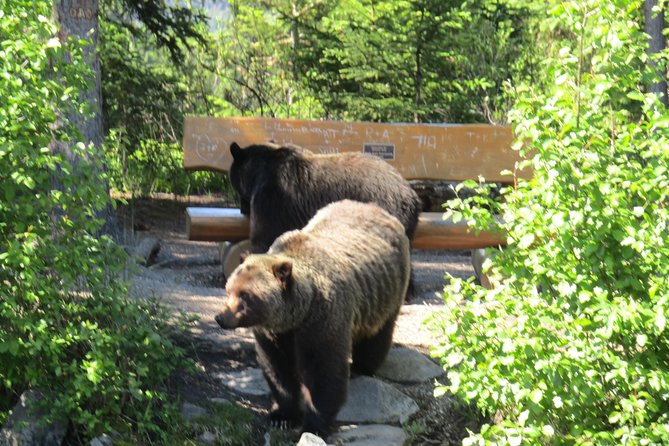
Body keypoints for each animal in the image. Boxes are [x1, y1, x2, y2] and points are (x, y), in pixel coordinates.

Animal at [217, 201, 410, 436]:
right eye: (229, 289)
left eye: (245, 295)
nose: (221, 317)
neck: (295, 315)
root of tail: (378, 209)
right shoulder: (273, 334)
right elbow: (277, 369)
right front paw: (281, 415)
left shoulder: (322, 321)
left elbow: (323, 370)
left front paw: (313, 424)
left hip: (385, 291)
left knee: (377, 335)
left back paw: (362, 367)